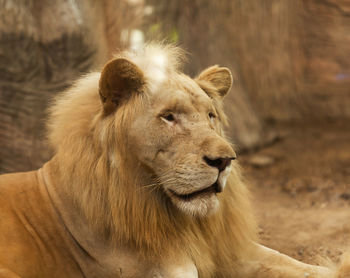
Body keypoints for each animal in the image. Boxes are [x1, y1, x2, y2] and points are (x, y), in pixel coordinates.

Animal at [0, 43, 348, 276]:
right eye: (168, 117)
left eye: (210, 116)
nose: (225, 160)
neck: (179, 222)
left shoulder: (232, 250)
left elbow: (292, 263)